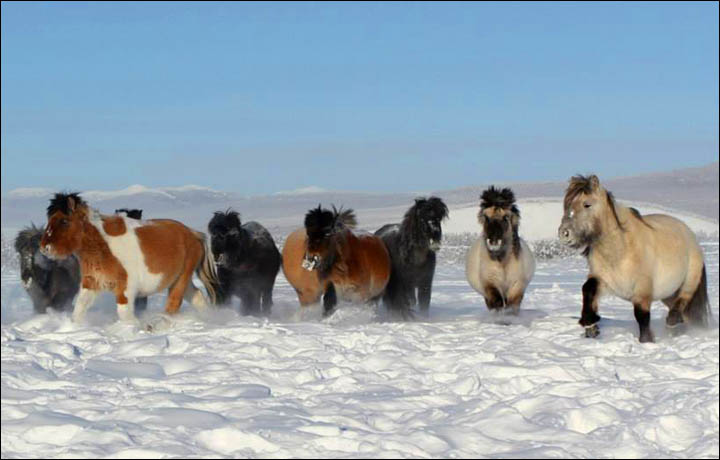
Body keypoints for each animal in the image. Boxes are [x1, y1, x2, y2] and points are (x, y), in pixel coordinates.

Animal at [39, 192, 218, 322]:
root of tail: (194, 234)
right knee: (198, 298)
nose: (44, 248)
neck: (103, 246)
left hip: (181, 278)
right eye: (50, 219)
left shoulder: (126, 288)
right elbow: (80, 308)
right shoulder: (91, 282)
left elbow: (124, 313)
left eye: (64, 221)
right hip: (178, 279)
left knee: (174, 304)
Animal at [556, 174, 708, 344]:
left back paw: (673, 321)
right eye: (567, 205)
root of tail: (689, 234)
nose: (564, 233)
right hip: (669, 293)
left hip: (688, 282)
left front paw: (646, 341)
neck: (620, 252)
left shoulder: (642, 290)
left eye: (586, 204)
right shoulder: (604, 280)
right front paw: (590, 325)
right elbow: (588, 289)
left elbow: (642, 316)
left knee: (682, 302)